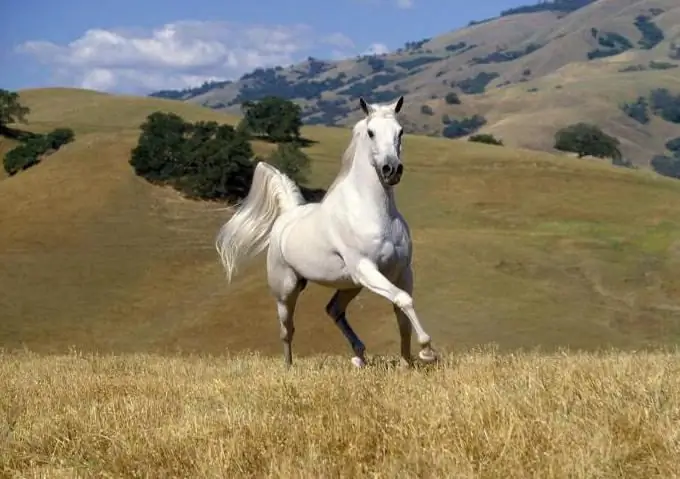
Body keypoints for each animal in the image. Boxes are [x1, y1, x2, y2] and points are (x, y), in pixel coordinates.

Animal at [218, 95, 440, 370]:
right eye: (371, 132)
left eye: (400, 131)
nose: (392, 169)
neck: (376, 213)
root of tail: (288, 215)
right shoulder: (366, 268)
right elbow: (403, 300)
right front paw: (427, 351)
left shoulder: (401, 271)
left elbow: (402, 315)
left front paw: (406, 363)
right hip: (287, 290)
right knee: (287, 329)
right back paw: (289, 368)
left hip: (350, 285)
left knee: (333, 310)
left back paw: (359, 356)